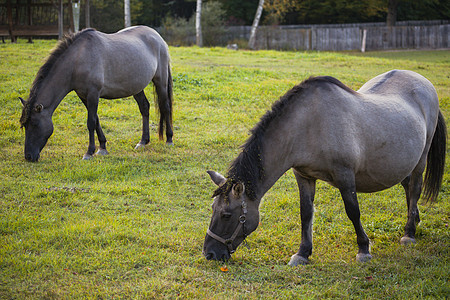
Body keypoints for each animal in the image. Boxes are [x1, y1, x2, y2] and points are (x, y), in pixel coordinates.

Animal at [18, 25, 172, 162]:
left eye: (35, 124)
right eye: (24, 125)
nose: (29, 156)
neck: (78, 59)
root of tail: (157, 36)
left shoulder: (93, 94)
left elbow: (91, 122)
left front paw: (89, 152)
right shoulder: (83, 96)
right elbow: (96, 120)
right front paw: (102, 147)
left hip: (161, 81)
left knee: (165, 107)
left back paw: (169, 139)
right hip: (136, 87)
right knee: (144, 107)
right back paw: (143, 141)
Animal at [205, 70, 446, 264]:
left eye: (226, 215)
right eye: (213, 209)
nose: (210, 253)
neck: (308, 125)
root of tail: (423, 82)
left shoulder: (345, 176)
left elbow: (353, 211)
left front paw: (364, 249)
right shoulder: (303, 176)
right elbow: (305, 213)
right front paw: (303, 253)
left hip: (421, 160)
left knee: (415, 189)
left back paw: (409, 233)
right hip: (402, 162)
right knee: (407, 187)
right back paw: (415, 219)